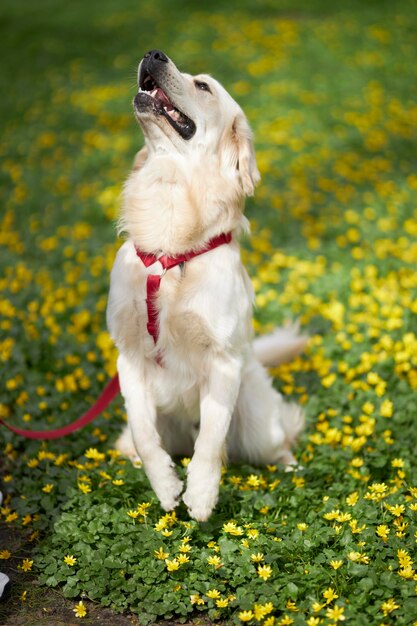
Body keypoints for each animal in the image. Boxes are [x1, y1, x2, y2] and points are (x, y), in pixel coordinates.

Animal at [105, 48, 304, 520]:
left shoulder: (223, 360)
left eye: (204, 87)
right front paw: (165, 485)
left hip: (258, 420)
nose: (153, 53)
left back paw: (292, 468)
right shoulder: (128, 357)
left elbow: (211, 440)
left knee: (281, 437)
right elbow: (144, 432)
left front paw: (200, 494)